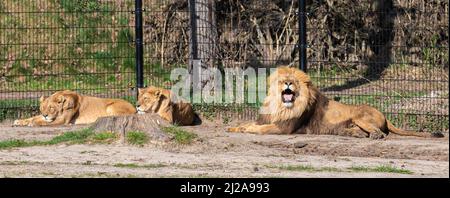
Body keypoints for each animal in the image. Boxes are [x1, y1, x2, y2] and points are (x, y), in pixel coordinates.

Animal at [227, 65, 444, 138]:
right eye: (282, 81)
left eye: (294, 81)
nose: (288, 83)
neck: (281, 106)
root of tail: (383, 113)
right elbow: (248, 123)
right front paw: (235, 127)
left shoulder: (284, 128)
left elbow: (260, 129)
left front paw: (248, 129)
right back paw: (356, 134)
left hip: (360, 116)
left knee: (381, 132)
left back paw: (374, 136)